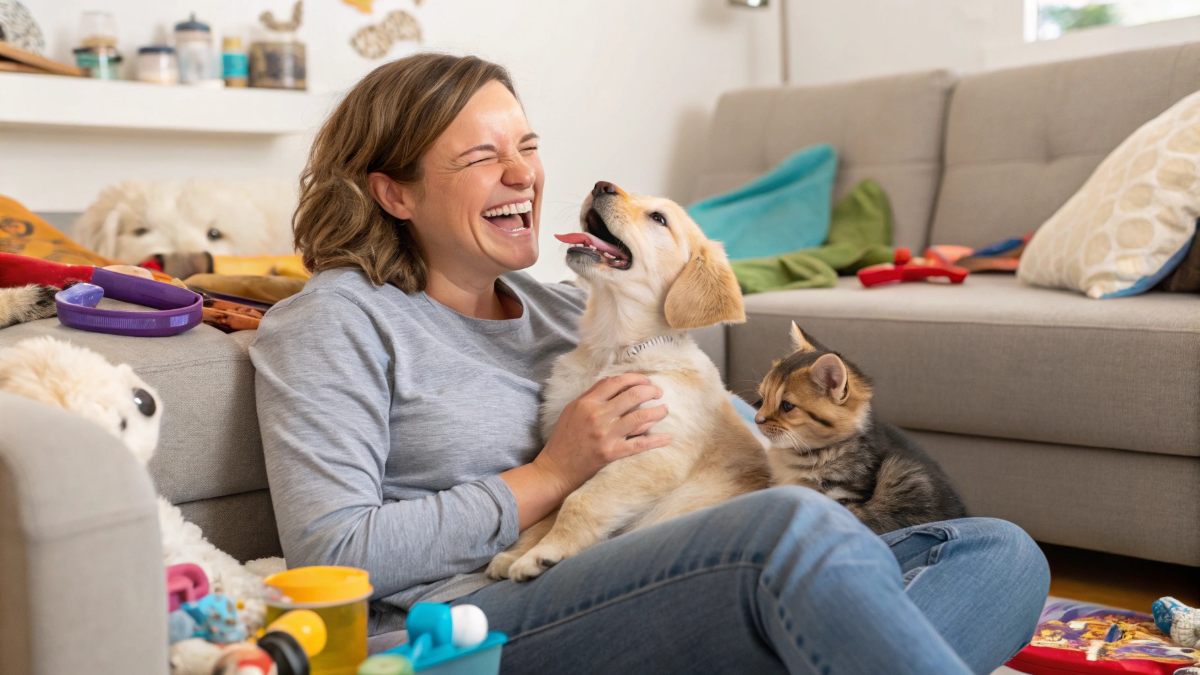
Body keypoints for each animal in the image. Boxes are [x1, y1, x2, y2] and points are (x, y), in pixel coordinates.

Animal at [487, 178, 768, 578]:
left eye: (659, 218)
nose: (601, 185)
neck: (613, 350)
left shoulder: (656, 451)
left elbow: (579, 500)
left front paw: (544, 551)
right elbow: (550, 507)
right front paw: (521, 552)